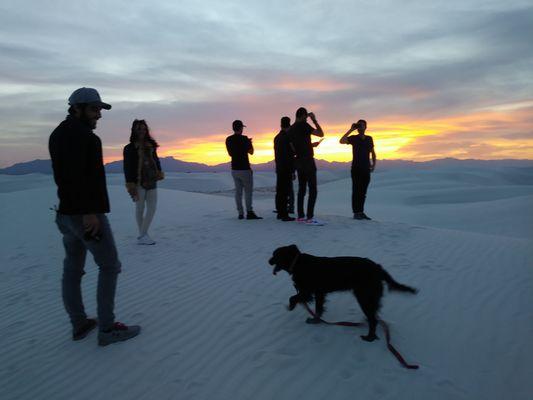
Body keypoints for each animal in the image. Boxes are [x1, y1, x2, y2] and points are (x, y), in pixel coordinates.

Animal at [268, 244, 418, 340]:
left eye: (275, 255)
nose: (268, 261)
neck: (298, 263)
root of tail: (378, 268)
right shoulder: (318, 293)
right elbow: (318, 309)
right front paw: (316, 320)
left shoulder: (307, 291)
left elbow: (292, 297)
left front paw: (291, 307)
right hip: (369, 297)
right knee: (374, 315)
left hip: (363, 296)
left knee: (373, 319)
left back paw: (369, 337)